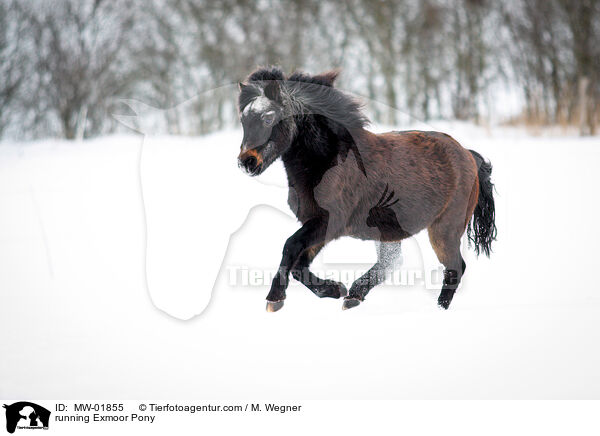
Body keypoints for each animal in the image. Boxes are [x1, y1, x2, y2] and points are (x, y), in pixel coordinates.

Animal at [237, 67, 494, 310]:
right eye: (243, 120)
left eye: (268, 118)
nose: (246, 162)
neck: (329, 161)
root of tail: (469, 155)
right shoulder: (316, 223)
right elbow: (299, 265)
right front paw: (335, 289)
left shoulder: (330, 221)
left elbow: (290, 247)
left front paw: (274, 299)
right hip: (392, 229)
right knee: (392, 262)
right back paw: (354, 295)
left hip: (444, 228)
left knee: (455, 268)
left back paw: (438, 309)